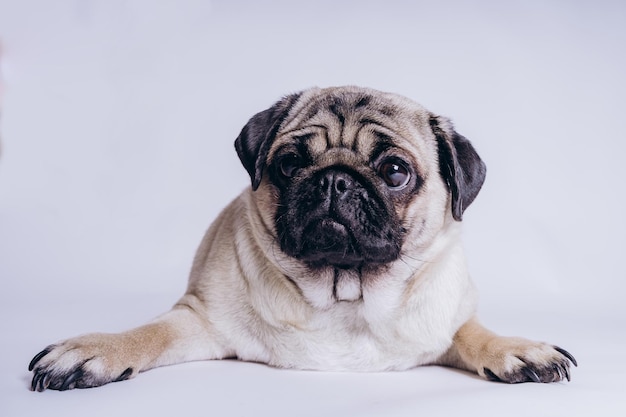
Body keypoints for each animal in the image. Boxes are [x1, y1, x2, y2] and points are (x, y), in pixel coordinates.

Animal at [28, 86, 576, 392]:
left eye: (395, 171)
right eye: (290, 163)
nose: (335, 179)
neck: (345, 293)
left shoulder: (444, 318)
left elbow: (471, 332)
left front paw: (518, 349)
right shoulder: (200, 319)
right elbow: (150, 332)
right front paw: (97, 349)